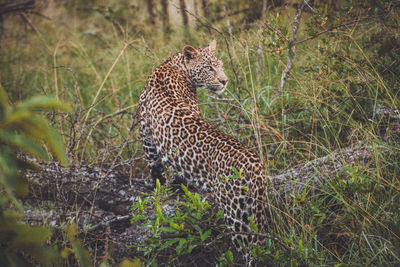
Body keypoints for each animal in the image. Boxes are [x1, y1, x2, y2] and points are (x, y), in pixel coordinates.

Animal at [138, 39, 268, 266]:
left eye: (221, 66)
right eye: (210, 68)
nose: (225, 81)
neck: (175, 65)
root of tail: (254, 163)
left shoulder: (147, 140)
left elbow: (156, 174)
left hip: (235, 212)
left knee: (249, 249)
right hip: (253, 209)